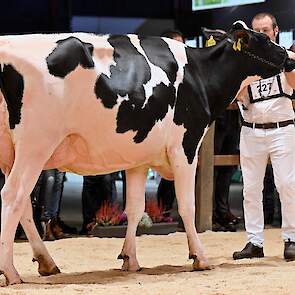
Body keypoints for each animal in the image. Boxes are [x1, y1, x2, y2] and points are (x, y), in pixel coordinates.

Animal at [0, 20, 292, 284]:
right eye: (264, 39)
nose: (289, 57)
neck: (199, 74)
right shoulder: (185, 147)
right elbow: (187, 206)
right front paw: (199, 257)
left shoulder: (138, 157)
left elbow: (135, 207)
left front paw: (130, 259)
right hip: (36, 145)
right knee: (13, 196)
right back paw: (11, 272)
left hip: (12, 155)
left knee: (23, 204)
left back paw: (46, 263)